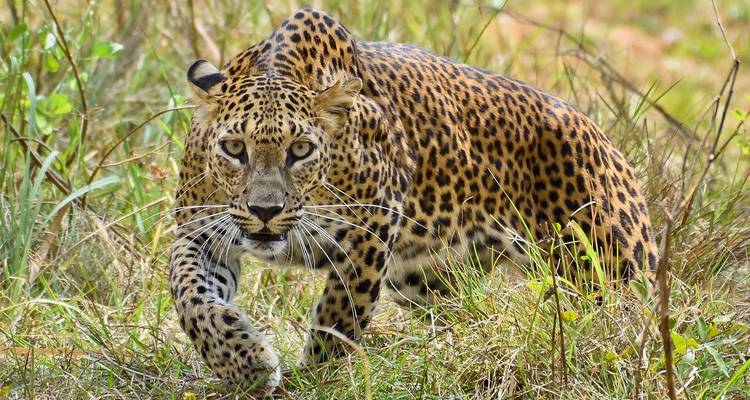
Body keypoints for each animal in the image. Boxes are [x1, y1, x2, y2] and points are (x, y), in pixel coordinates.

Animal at [169, 8, 658, 392]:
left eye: (301, 150)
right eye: (234, 148)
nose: (265, 211)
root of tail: (605, 139)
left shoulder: (370, 231)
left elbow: (338, 318)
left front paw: (310, 381)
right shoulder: (200, 231)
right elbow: (190, 296)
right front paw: (244, 362)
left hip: (610, 270)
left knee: (633, 326)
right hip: (426, 278)